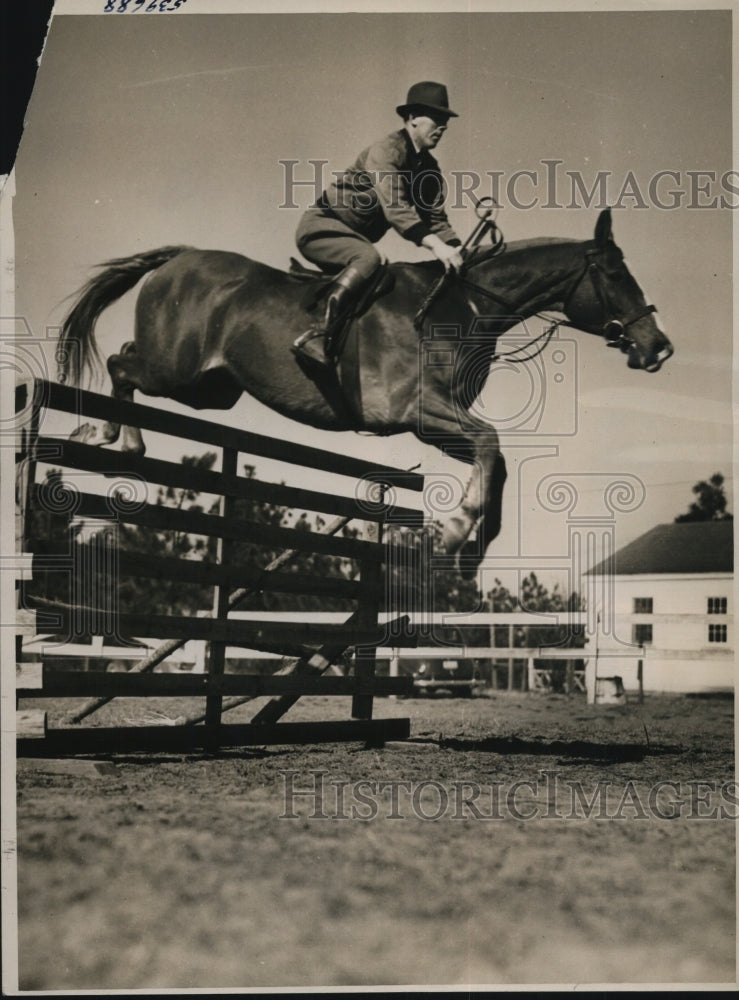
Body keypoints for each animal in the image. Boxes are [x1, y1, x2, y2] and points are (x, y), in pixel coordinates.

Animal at [55, 206, 672, 576]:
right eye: (615, 274)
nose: (658, 347)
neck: (464, 305)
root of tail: (177, 259)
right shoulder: (421, 412)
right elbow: (492, 446)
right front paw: (456, 531)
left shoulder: (439, 425)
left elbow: (496, 461)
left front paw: (471, 554)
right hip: (177, 370)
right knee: (122, 363)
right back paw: (111, 437)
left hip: (210, 389)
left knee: (129, 363)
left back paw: (109, 438)